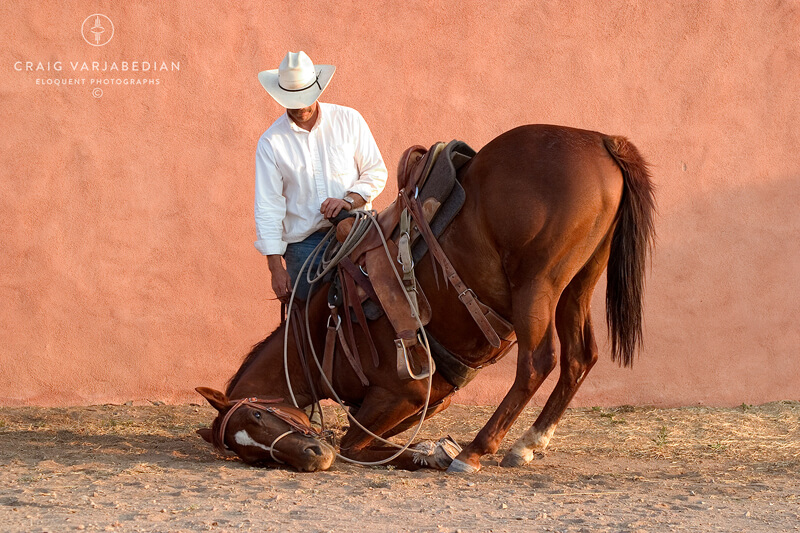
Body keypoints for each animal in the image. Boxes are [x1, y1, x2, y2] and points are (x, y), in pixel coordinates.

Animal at [197, 123, 652, 470]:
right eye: (254, 457)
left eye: (259, 414)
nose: (311, 457)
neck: (322, 333)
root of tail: (601, 141)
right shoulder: (432, 401)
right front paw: (428, 448)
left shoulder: (401, 394)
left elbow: (351, 446)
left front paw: (432, 452)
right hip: (578, 283)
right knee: (579, 357)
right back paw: (529, 443)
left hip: (538, 284)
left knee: (537, 362)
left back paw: (476, 451)